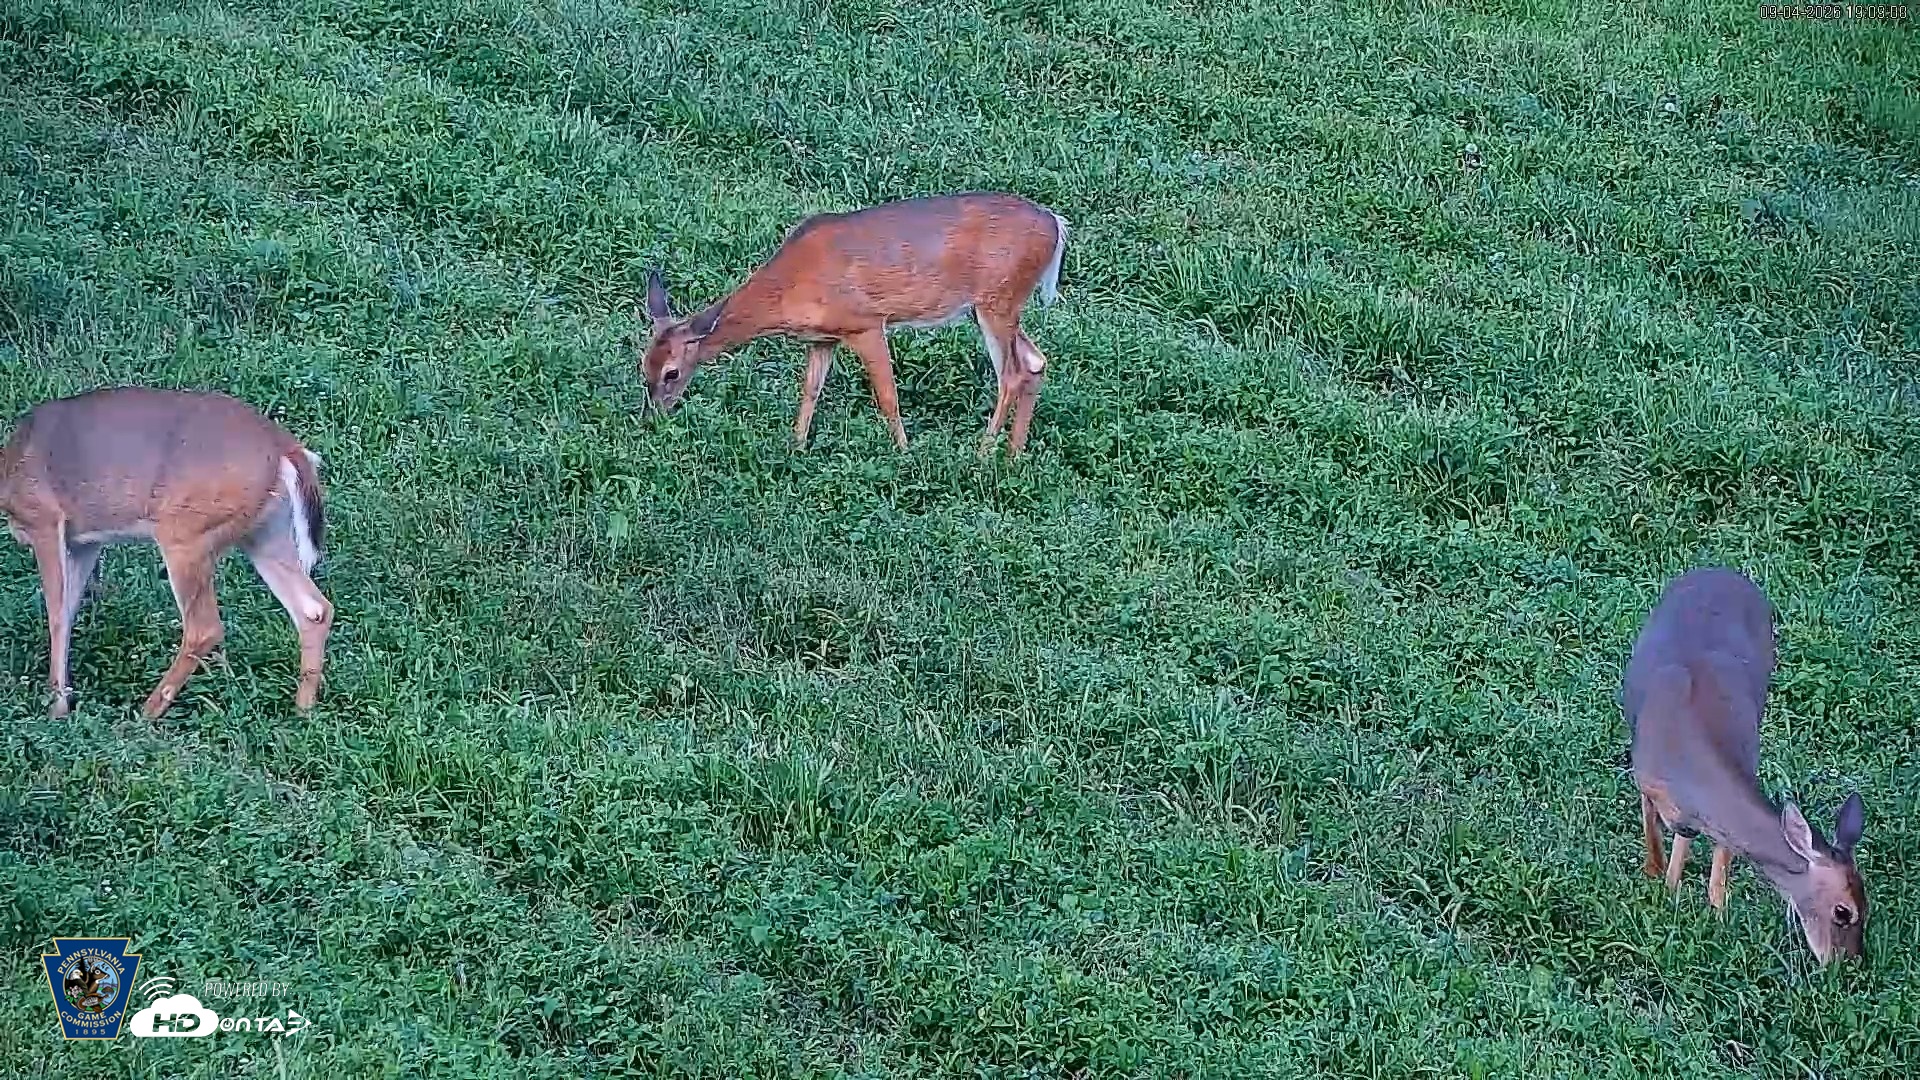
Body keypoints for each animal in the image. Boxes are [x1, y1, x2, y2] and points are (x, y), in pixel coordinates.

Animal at [0, 387, 334, 719]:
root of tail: (284, 447)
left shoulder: (44, 519)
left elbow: (56, 615)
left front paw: (56, 709)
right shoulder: (84, 541)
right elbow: (68, 611)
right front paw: (64, 702)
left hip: (186, 531)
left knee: (205, 628)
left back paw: (145, 712)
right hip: (264, 531)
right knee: (314, 608)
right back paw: (304, 708)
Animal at [637, 191, 1068, 457]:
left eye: (672, 372)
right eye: (644, 368)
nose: (652, 419)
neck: (791, 285)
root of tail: (1057, 225)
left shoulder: (865, 323)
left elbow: (888, 396)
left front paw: (904, 453)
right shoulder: (823, 337)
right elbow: (810, 390)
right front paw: (796, 446)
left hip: (998, 299)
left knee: (1011, 372)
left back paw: (982, 453)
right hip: (996, 306)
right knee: (1035, 361)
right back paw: (1012, 455)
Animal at [1622, 566, 1869, 965]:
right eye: (1843, 911)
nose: (1848, 962)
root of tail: (1720, 569)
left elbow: (1718, 865)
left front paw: (1716, 917)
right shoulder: (1644, 777)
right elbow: (1656, 842)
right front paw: (1662, 886)